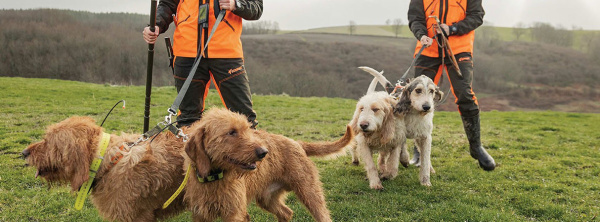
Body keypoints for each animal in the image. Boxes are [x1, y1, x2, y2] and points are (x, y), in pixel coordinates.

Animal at [183, 108, 352, 221]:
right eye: (231, 132)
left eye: (247, 129)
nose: (263, 152)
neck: (215, 179)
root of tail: (297, 143)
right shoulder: (200, 214)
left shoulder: (234, 213)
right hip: (268, 198)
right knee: (286, 213)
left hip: (310, 193)